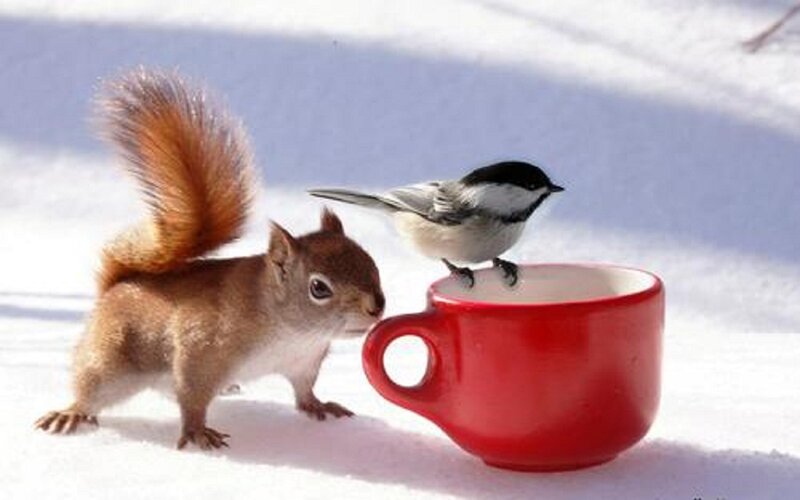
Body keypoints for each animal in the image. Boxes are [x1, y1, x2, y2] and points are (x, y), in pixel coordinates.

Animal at [34, 69, 385, 450]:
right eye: (319, 288)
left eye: (371, 263)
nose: (376, 307)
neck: (291, 331)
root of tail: (118, 284)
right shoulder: (200, 349)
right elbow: (191, 396)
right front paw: (197, 432)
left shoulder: (304, 363)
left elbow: (304, 392)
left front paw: (319, 406)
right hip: (109, 359)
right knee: (90, 388)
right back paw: (70, 413)